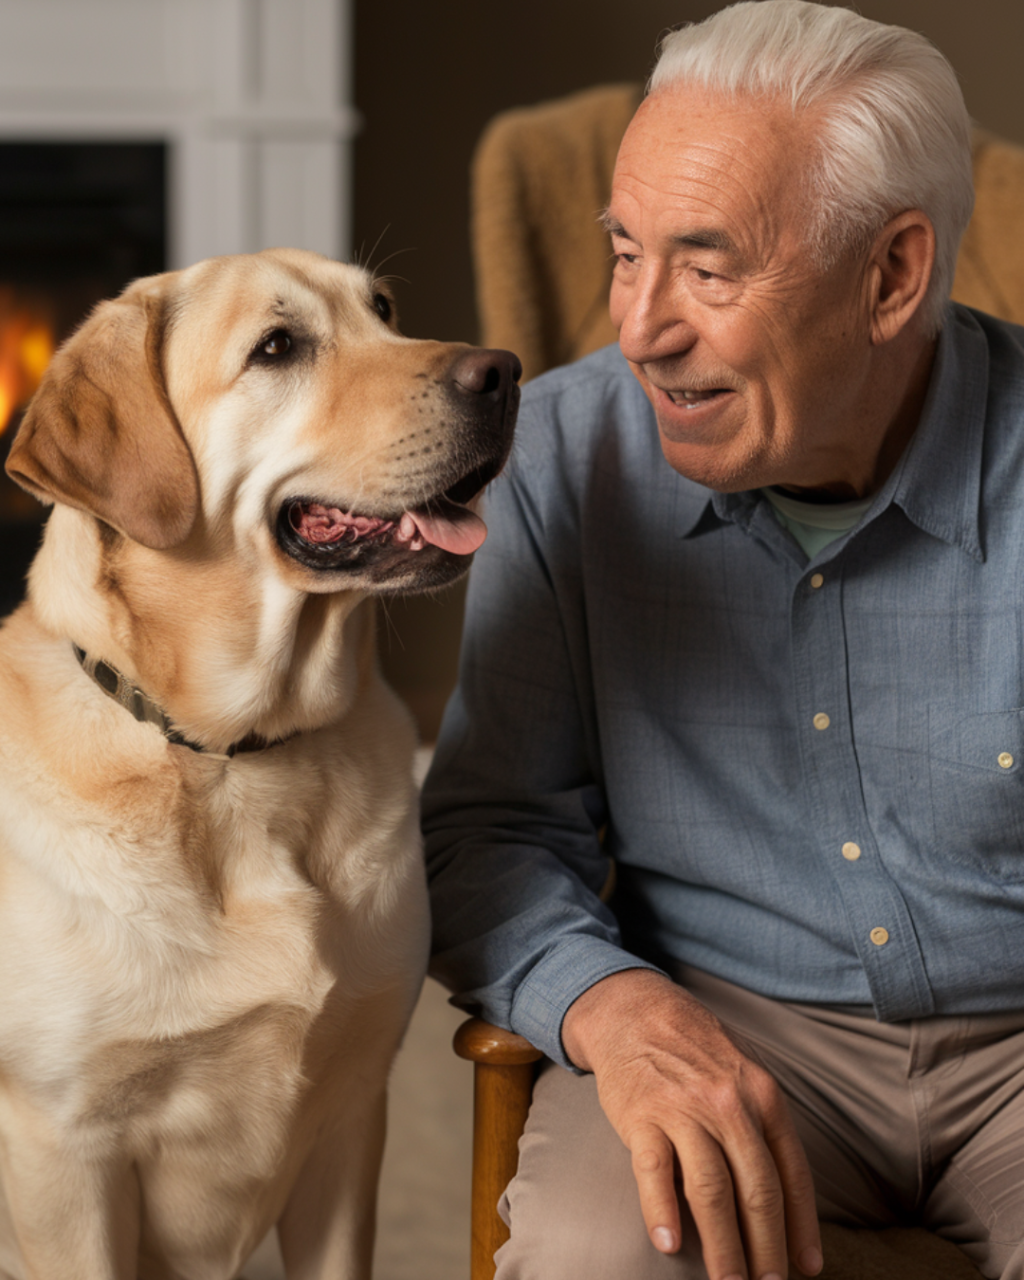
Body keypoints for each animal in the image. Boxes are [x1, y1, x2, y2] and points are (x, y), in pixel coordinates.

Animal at [0, 244, 517, 1274]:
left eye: (384, 310)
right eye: (277, 348)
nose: (505, 372)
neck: (236, 757)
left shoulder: (354, 1114)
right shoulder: (62, 1157)